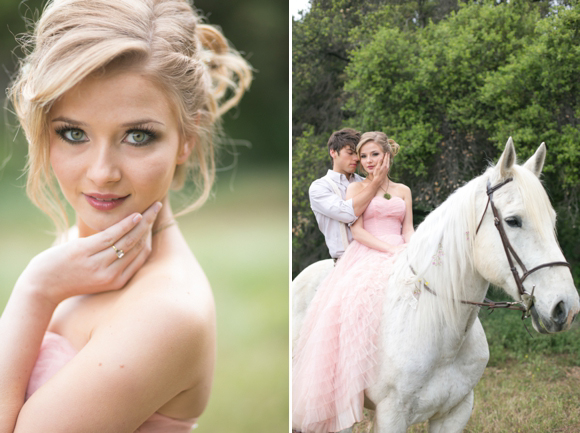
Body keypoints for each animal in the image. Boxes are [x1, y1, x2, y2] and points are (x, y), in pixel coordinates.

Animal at [294, 139, 580, 432]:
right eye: (513, 221)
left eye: (552, 221)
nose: (565, 308)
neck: (441, 331)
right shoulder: (392, 415)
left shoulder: (455, 412)